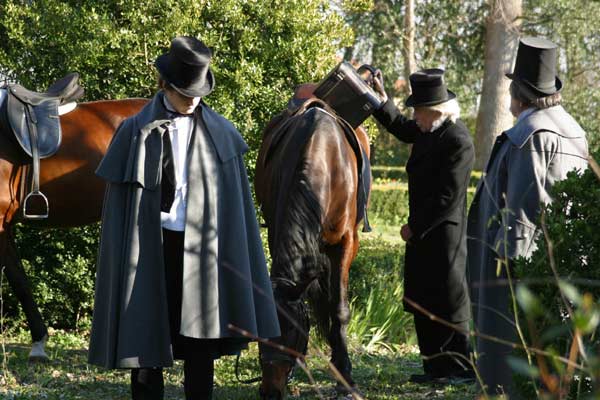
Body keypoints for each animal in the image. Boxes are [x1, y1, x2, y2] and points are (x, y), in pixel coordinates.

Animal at [254, 83, 370, 398]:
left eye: (293, 333)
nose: (270, 391)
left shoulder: (346, 242)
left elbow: (339, 309)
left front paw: (345, 376)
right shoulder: (277, 232)